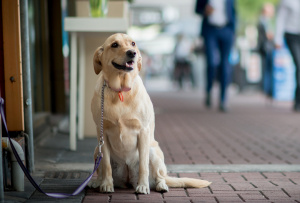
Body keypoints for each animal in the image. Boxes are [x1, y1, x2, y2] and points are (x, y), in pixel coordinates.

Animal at [89, 33, 211, 195]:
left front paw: (142, 186)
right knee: (101, 167)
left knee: (160, 176)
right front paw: (107, 185)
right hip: (97, 149)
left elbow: (143, 165)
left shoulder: (143, 131)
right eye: (114, 44)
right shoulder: (102, 131)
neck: (120, 90)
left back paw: (160, 185)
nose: (132, 53)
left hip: (154, 152)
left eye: (133, 43)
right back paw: (97, 182)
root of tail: (127, 179)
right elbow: (106, 164)